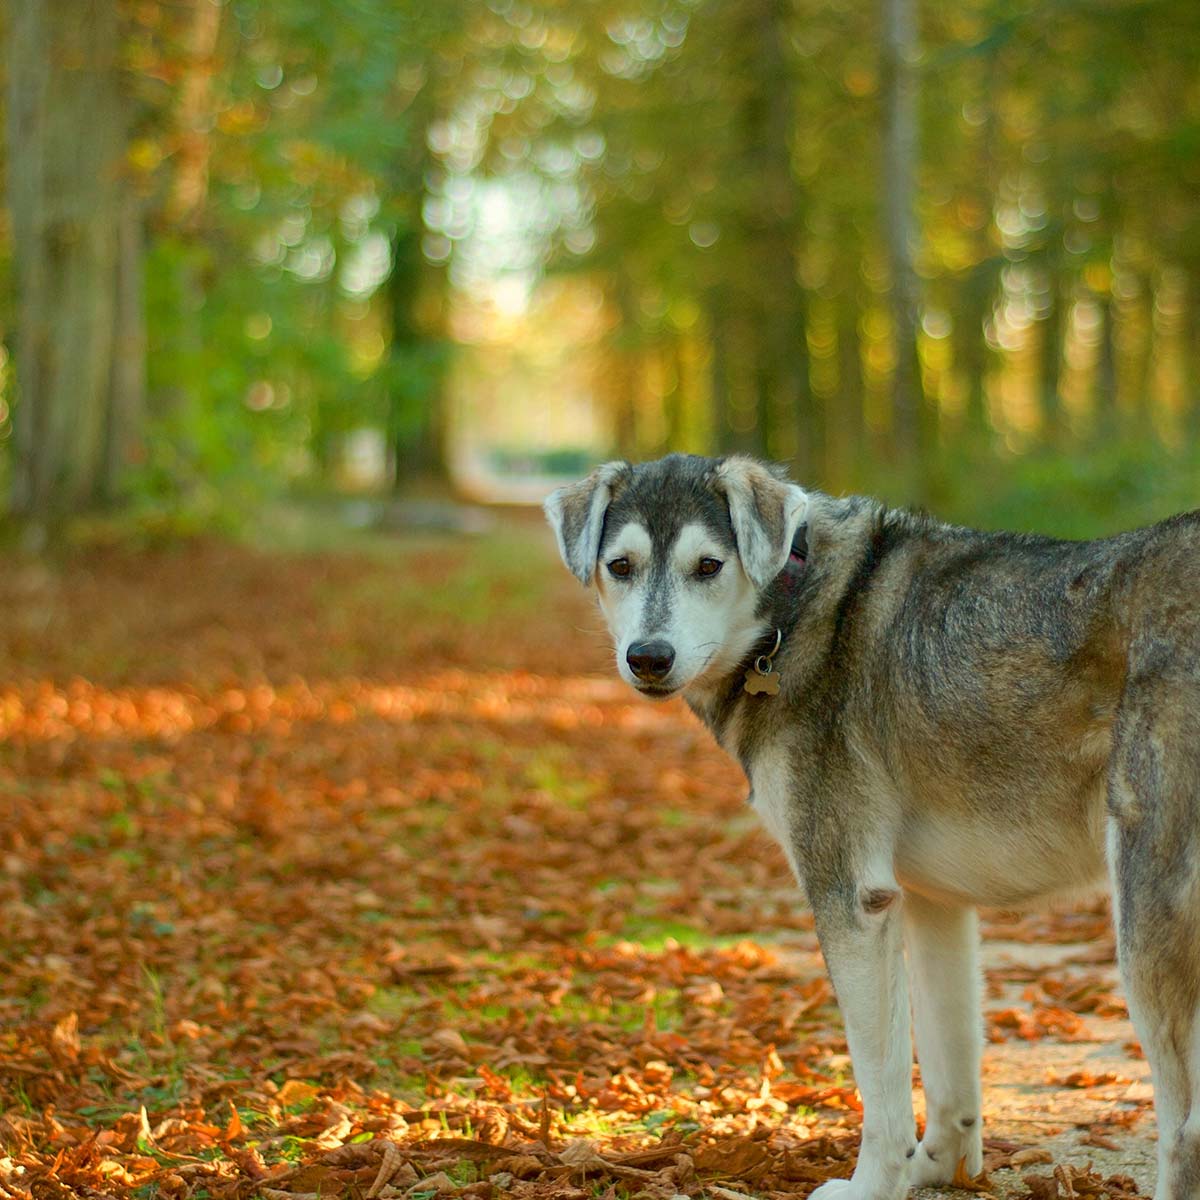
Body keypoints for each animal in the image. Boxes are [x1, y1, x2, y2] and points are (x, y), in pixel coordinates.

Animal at [544, 451, 1200, 1200]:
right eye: (620, 566)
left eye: (707, 566)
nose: (648, 657)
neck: (792, 610)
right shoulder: (936, 903)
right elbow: (949, 1076)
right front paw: (936, 1169)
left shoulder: (851, 901)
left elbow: (880, 1088)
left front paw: (871, 1185)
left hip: (1144, 917)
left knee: (1184, 1131)